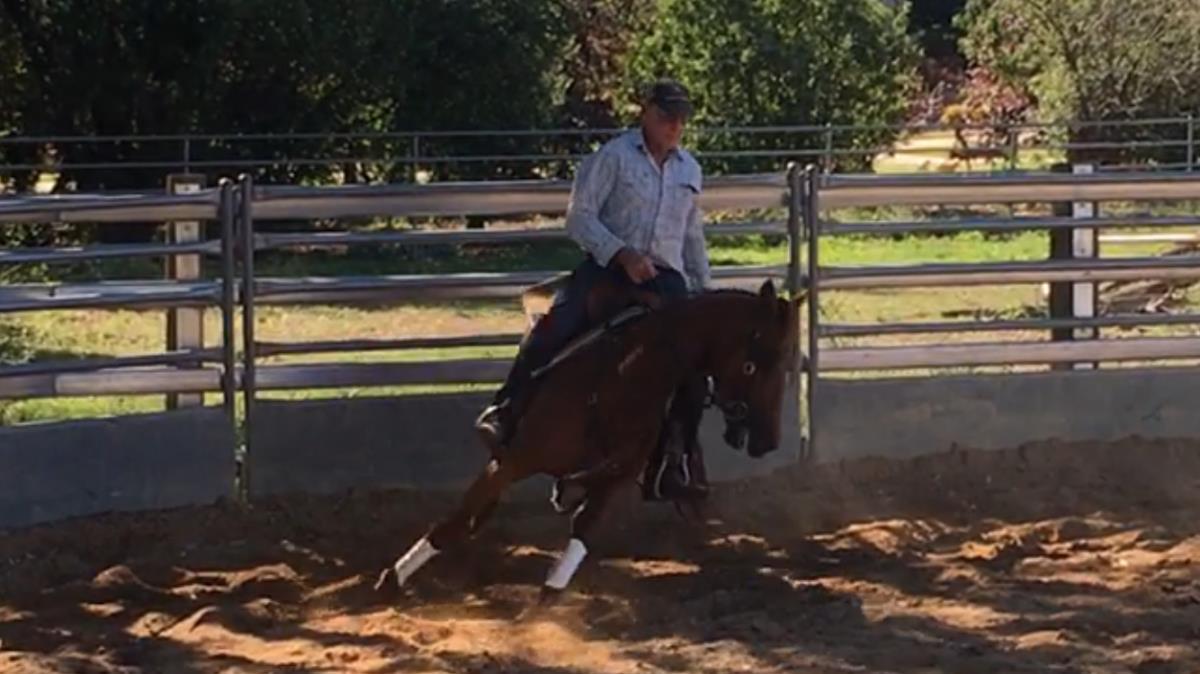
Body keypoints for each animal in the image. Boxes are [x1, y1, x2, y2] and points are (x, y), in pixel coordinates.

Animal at [375, 279, 801, 599]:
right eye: (758, 362)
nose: (769, 440)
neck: (623, 379)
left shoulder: (617, 475)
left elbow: (583, 528)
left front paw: (548, 598)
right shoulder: (512, 460)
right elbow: (457, 519)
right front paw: (392, 579)